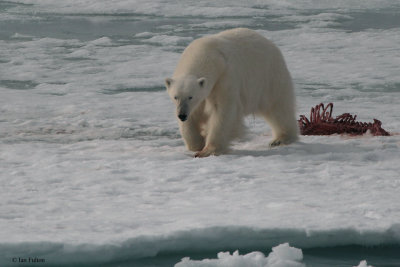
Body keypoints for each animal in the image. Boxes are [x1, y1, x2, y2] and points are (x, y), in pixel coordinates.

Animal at [165, 27, 296, 157]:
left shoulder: (225, 77)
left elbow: (223, 110)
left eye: (191, 97)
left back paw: (281, 139)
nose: (182, 115)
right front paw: (196, 144)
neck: (207, 54)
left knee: (278, 106)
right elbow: (193, 115)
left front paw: (208, 150)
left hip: (268, 76)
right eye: (175, 97)